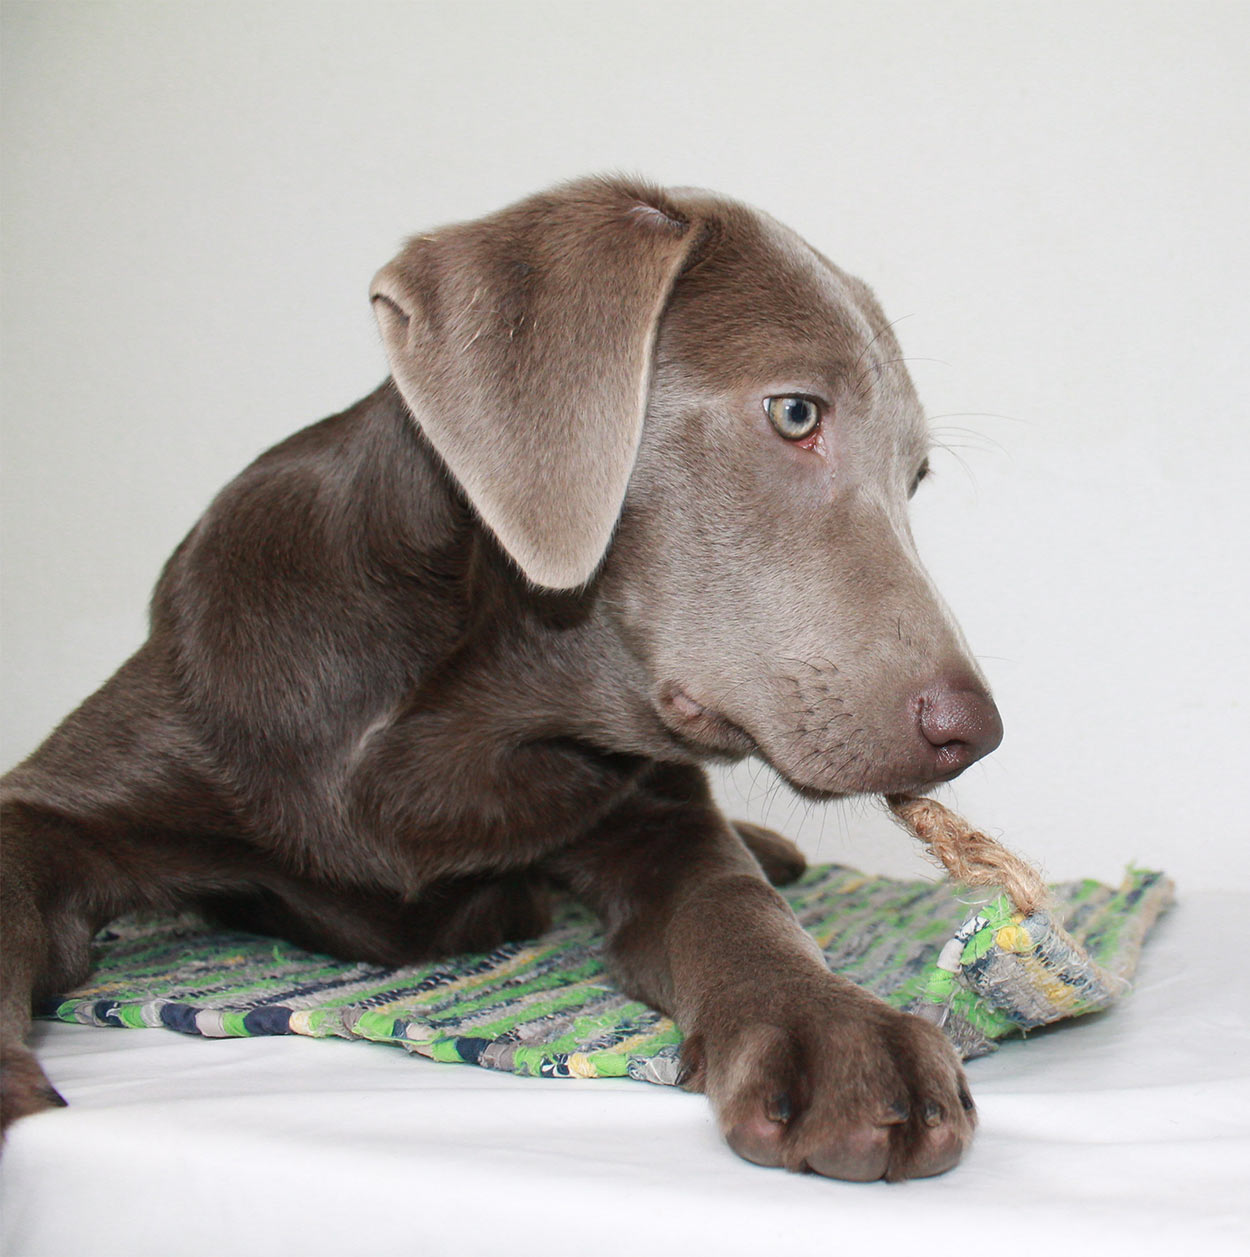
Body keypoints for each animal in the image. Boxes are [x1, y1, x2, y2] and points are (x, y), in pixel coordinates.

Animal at [0, 177, 1006, 1176]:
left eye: (914, 478)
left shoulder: (655, 815)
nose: (977, 733)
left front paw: (831, 1025)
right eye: (796, 412)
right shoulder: (87, 784)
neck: (482, 717)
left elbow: (733, 901)